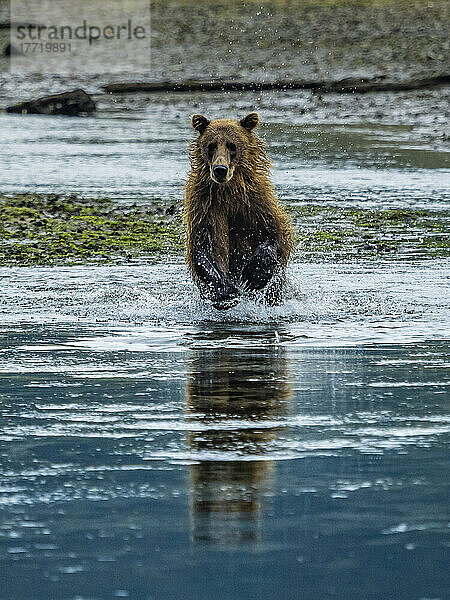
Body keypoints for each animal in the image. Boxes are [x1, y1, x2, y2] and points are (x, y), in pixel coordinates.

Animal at [184, 112, 294, 310]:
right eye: (211, 145)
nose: (220, 169)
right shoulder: (205, 205)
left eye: (232, 145)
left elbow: (274, 232)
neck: (228, 190)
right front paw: (225, 291)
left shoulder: (255, 202)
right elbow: (204, 246)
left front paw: (254, 274)